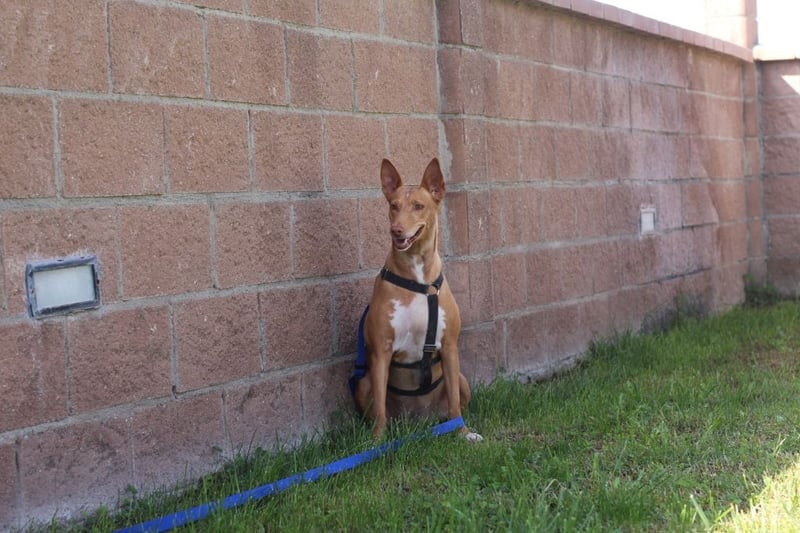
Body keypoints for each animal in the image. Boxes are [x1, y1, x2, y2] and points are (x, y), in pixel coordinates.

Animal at [350, 157, 481, 441]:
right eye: (393, 205)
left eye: (419, 206)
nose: (396, 230)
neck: (417, 278)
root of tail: (419, 421)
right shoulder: (381, 351)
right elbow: (379, 408)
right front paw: (378, 442)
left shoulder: (450, 346)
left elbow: (455, 403)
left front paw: (462, 432)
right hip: (362, 384)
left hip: (463, 379)